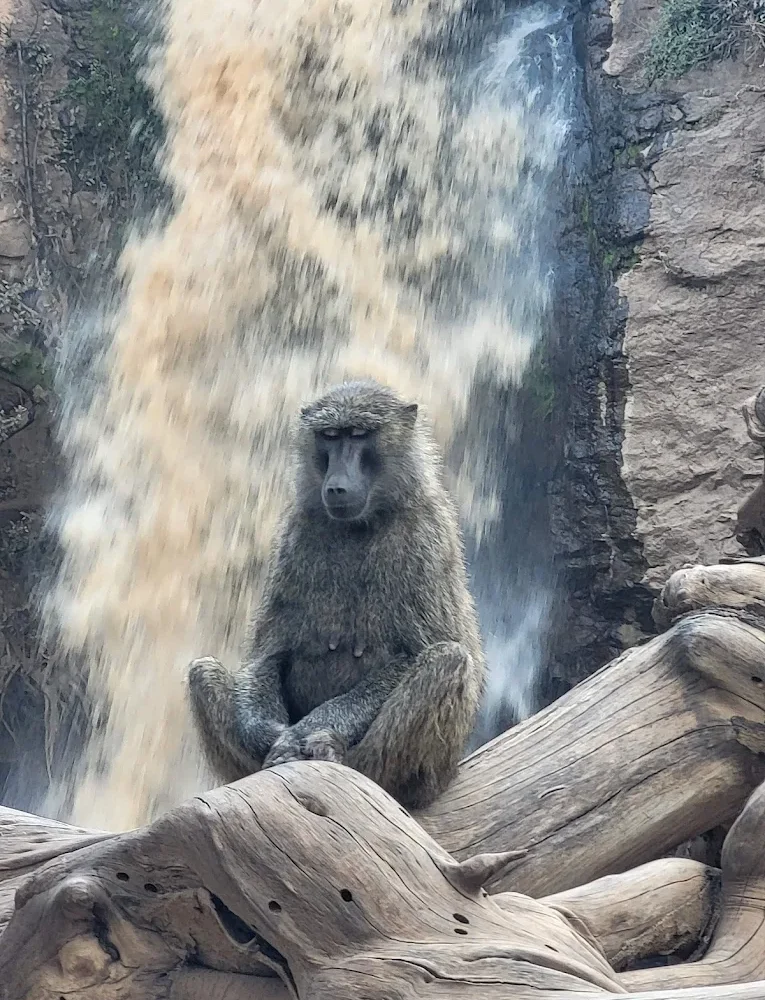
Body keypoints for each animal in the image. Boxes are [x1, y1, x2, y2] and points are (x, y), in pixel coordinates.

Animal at [187, 379, 485, 809]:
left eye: (359, 434)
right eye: (330, 436)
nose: (337, 486)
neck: (361, 525)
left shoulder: (426, 536)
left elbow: (424, 651)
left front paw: (307, 732)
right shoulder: (296, 535)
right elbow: (268, 656)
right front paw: (277, 737)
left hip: (426, 773)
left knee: (447, 660)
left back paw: (339, 756)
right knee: (201, 671)